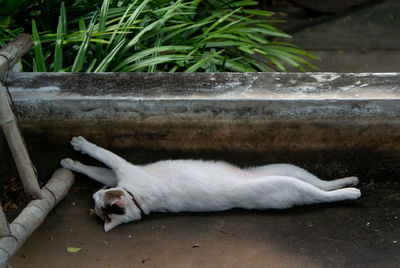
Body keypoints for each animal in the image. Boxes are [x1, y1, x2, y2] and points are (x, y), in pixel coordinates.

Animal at [61, 137, 360, 231]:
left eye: (99, 199)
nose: (94, 195)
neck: (138, 200)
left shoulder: (120, 171)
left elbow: (99, 159)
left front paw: (75, 152)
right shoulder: (120, 174)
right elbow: (99, 164)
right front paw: (73, 157)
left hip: (287, 169)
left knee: (322, 186)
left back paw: (351, 183)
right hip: (290, 182)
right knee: (322, 192)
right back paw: (352, 187)